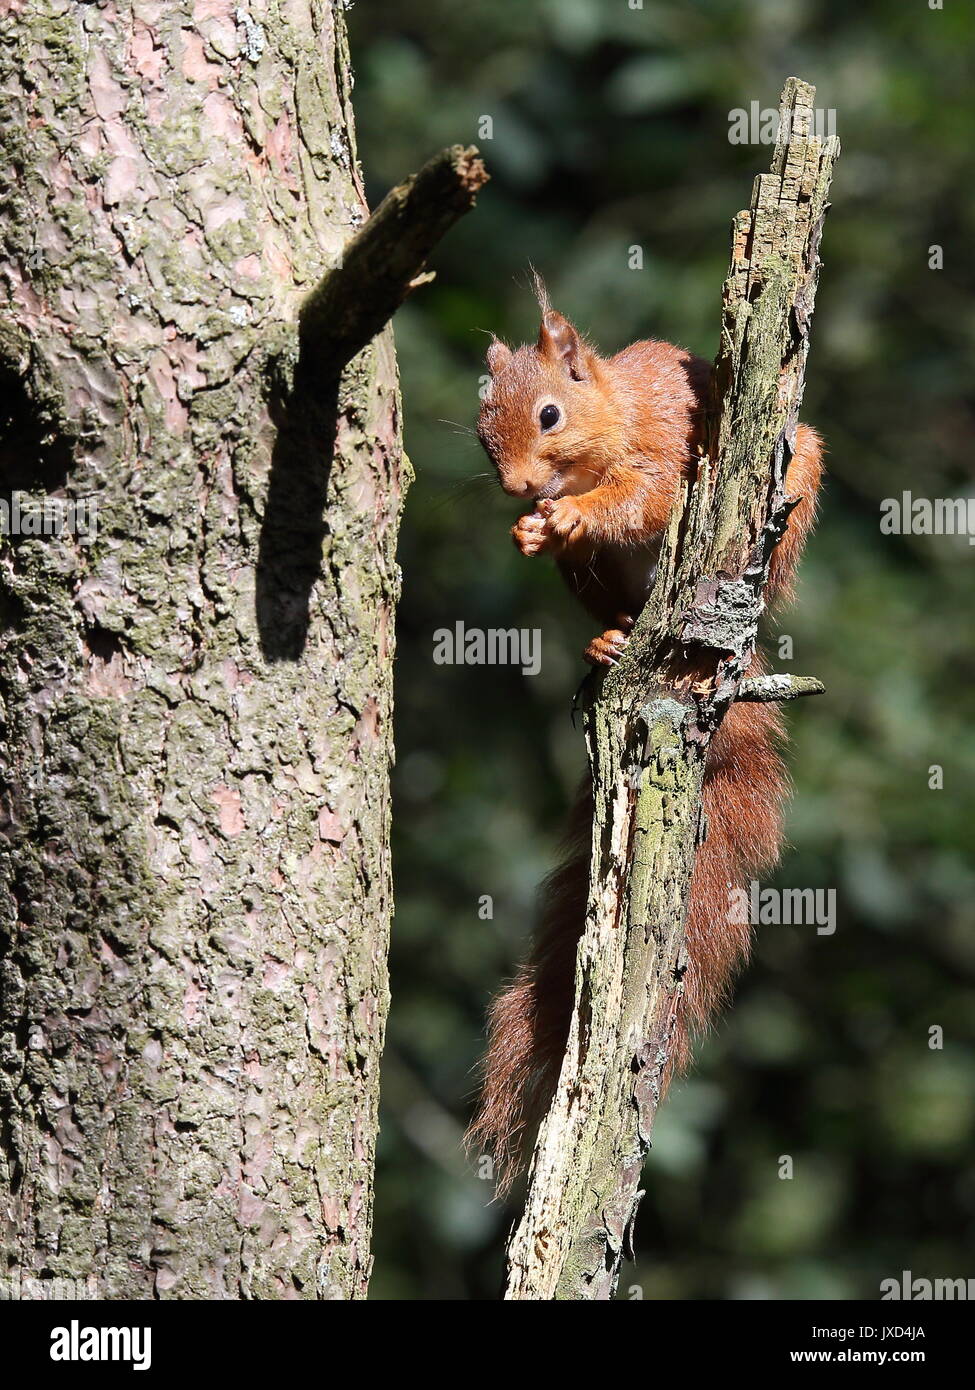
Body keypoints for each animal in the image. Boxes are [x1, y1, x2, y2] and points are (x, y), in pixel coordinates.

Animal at [467, 284, 817, 1195]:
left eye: (549, 414)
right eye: (483, 431)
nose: (517, 486)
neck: (611, 416)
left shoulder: (666, 456)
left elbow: (645, 498)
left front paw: (570, 514)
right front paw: (529, 529)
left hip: (791, 484)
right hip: (595, 587)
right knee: (615, 614)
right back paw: (608, 642)